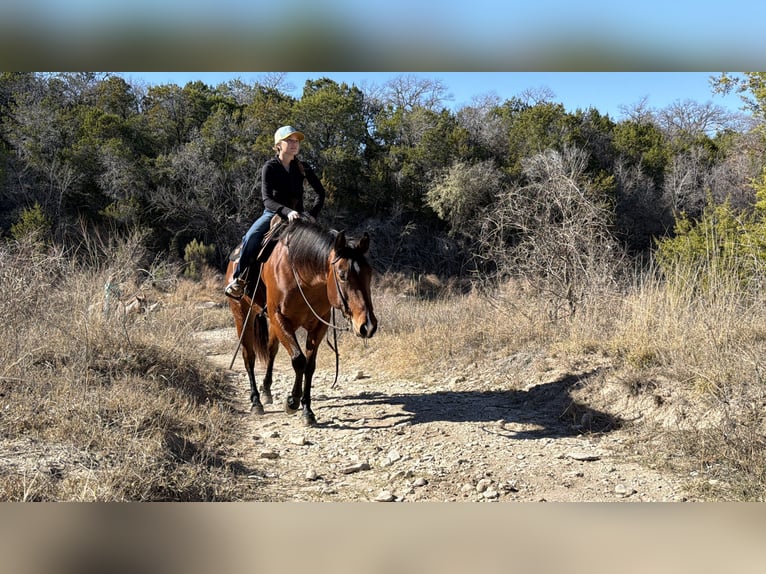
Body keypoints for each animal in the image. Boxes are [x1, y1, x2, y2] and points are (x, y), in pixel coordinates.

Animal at [226, 219, 378, 426]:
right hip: (242, 315)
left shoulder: (319, 325)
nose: (367, 325)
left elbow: (309, 366)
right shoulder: (280, 318)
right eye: (342, 274)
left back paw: (266, 391)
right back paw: (256, 401)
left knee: (272, 350)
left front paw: (307, 410)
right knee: (249, 356)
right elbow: (298, 360)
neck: (302, 275)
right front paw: (292, 402)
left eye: (369, 273)